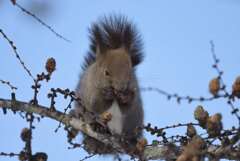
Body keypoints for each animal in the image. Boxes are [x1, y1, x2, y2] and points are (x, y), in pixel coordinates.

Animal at [72, 15, 144, 155]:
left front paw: (125, 97)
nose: (121, 87)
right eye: (106, 72)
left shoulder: (135, 90)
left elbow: (128, 106)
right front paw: (107, 95)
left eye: (130, 70)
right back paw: (97, 128)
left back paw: (131, 140)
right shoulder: (90, 90)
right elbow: (96, 104)